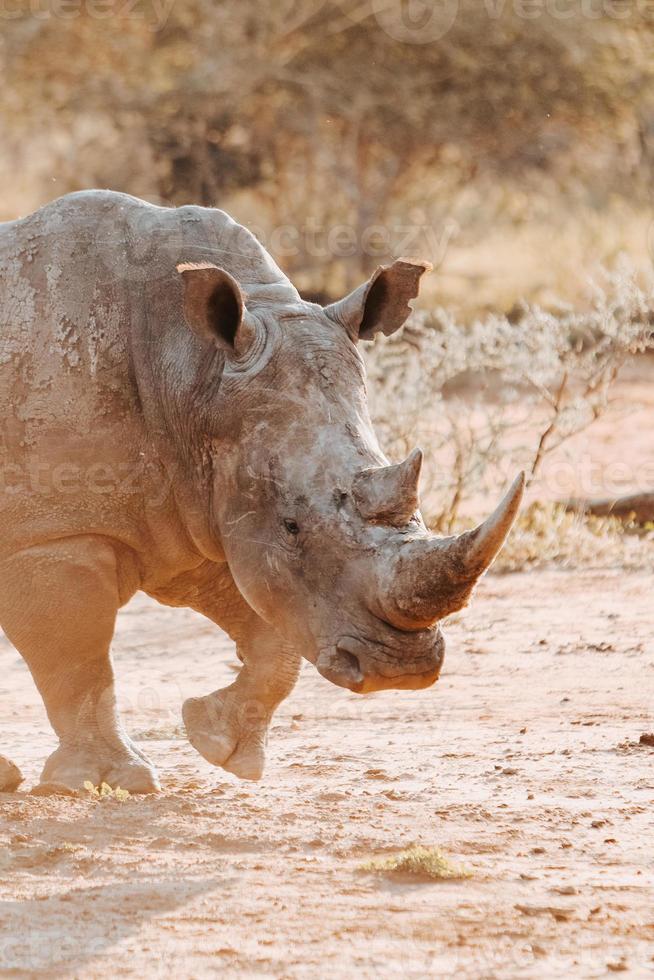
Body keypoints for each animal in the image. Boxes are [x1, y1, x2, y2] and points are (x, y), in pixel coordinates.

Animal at [0, 193, 524, 796]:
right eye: (292, 525)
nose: (400, 670)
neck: (190, 369)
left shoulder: (193, 512)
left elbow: (274, 633)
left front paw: (219, 743)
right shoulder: (53, 531)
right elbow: (78, 655)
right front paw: (107, 781)